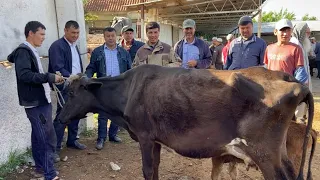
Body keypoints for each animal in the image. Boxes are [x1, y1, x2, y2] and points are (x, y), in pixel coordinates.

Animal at [57, 65, 312, 180]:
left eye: (70, 93)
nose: (58, 118)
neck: (128, 90)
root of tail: (287, 77)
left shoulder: (145, 136)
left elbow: (147, 170)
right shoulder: (155, 140)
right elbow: (155, 168)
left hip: (265, 154)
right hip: (279, 153)